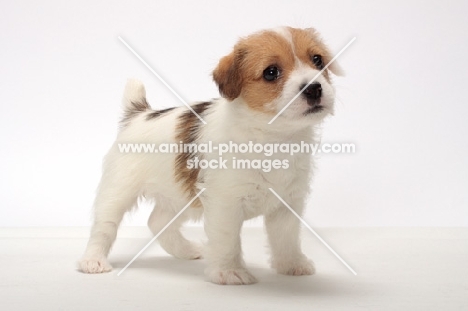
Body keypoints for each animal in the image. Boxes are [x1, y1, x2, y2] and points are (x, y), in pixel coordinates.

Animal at [78, 26, 342, 286]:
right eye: (271, 72)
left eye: (317, 60)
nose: (314, 88)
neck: (273, 138)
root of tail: (140, 114)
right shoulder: (225, 204)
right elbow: (228, 240)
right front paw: (229, 271)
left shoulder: (288, 204)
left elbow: (286, 238)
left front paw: (292, 264)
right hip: (118, 191)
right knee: (104, 226)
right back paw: (93, 261)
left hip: (179, 195)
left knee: (157, 221)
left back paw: (186, 250)